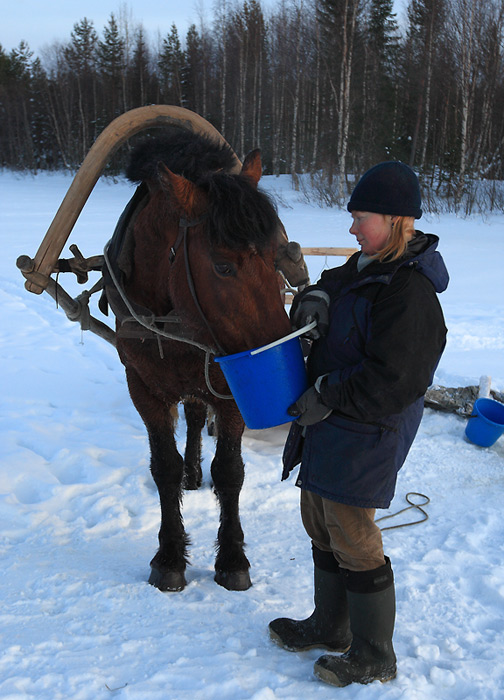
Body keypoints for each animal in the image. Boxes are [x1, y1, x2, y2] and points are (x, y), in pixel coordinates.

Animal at [101, 131, 292, 592]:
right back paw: (190, 471)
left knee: (194, 415)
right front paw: (170, 554)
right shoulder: (143, 388)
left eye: (277, 254)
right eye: (223, 266)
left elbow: (230, 471)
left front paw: (233, 557)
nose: (278, 353)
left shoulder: (230, 392)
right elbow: (164, 469)